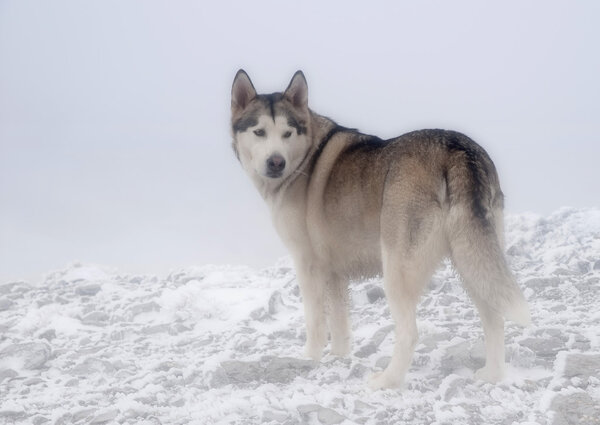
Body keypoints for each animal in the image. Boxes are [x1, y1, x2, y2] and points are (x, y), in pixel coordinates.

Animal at [230, 68, 528, 388]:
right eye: (259, 132)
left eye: (287, 133)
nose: (276, 162)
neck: (306, 157)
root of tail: (455, 147)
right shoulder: (334, 272)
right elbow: (340, 322)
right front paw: (339, 357)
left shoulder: (307, 264)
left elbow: (315, 321)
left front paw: (309, 358)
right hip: (474, 259)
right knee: (494, 320)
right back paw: (493, 375)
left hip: (398, 269)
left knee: (409, 333)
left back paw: (387, 380)